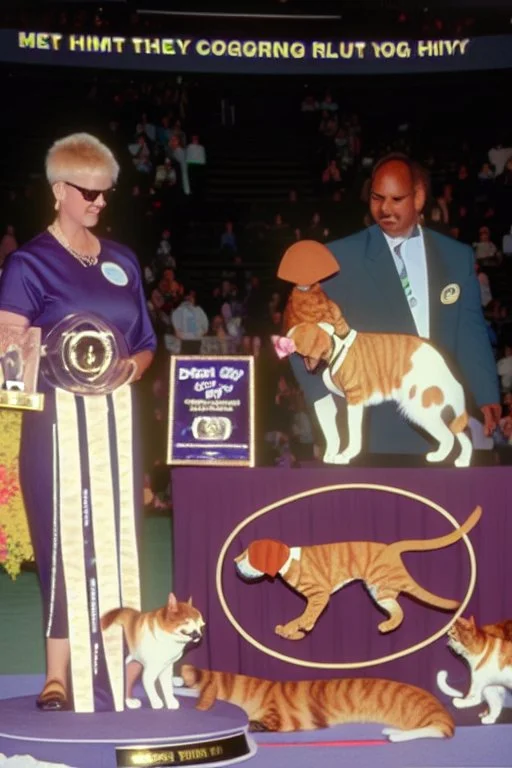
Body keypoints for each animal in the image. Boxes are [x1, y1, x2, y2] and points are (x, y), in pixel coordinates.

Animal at [234, 508, 482, 640]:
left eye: (248, 555)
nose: (235, 561)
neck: (288, 560)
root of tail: (391, 547)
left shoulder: (319, 595)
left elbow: (307, 614)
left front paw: (302, 626)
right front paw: (289, 630)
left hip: (383, 587)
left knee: (418, 601)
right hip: (379, 591)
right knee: (399, 611)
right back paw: (388, 626)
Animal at [272, 288, 472, 468]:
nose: (278, 342)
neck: (337, 343)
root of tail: (446, 370)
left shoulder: (354, 400)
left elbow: (353, 434)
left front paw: (345, 456)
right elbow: (334, 431)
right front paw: (331, 454)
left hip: (421, 407)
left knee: (449, 435)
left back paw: (443, 458)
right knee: (460, 432)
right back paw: (461, 460)